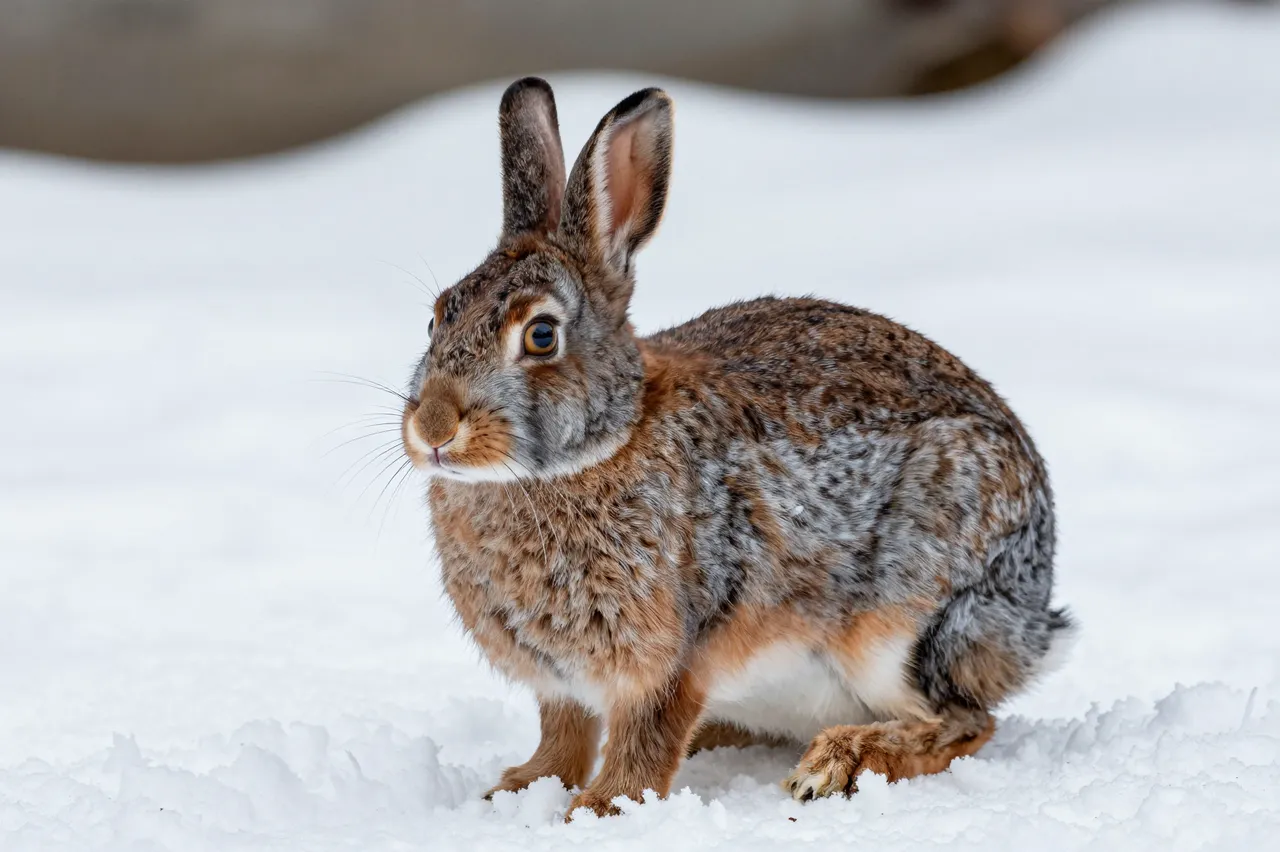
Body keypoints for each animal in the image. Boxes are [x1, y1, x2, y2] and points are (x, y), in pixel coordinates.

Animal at [400, 77, 1074, 819]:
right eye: (436, 318)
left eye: (541, 336)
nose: (434, 428)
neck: (596, 449)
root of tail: (1034, 619)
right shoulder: (559, 683)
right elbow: (562, 735)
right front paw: (516, 791)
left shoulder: (672, 656)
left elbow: (646, 738)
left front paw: (600, 809)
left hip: (904, 625)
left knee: (963, 721)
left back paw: (834, 766)